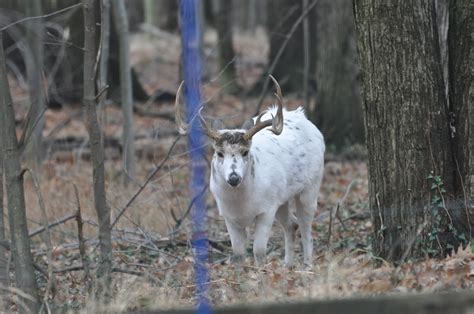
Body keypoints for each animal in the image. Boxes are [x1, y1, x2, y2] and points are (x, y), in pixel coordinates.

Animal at [175, 75, 326, 264]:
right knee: (292, 224)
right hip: (281, 198)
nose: (233, 178)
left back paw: (307, 264)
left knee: (306, 228)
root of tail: (305, 118)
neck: (241, 204)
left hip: (311, 187)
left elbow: (259, 250)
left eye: (245, 152)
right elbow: (238, 253)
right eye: (219, 153)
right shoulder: (228, 216)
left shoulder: (267, 210)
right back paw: (288, 264)